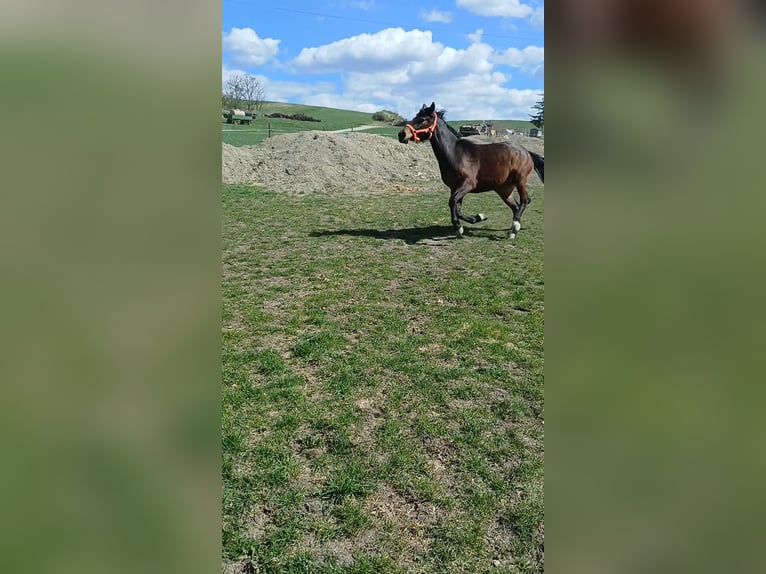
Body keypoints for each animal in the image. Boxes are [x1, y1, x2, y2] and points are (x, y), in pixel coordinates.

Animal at [398, 102, 544, 239]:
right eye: (415, 117)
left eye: (422, 119)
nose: (401, 134)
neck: (455, 154)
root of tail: (526, 152)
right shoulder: (454, 188)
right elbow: (456, 208)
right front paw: (477, 218)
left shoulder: (468, 185)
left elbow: (452, 202)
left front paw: (460, 227)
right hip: (504, 190)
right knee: (516, 206)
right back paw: (513, 230)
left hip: (520, 181)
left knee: (525, 200)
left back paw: (514, 228)